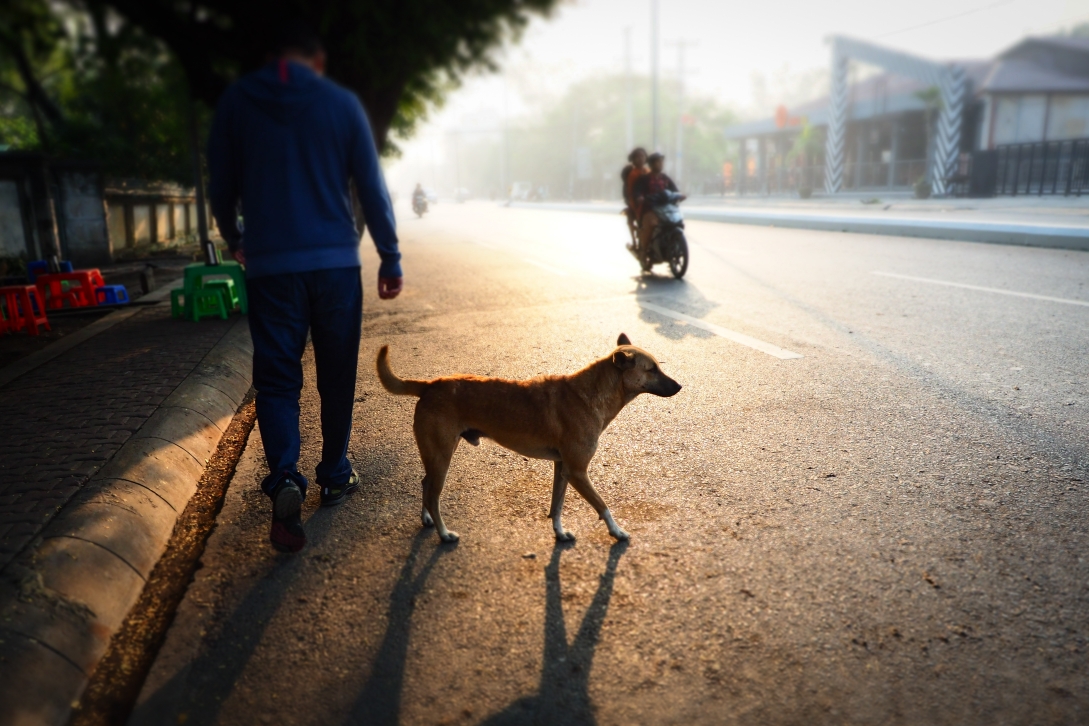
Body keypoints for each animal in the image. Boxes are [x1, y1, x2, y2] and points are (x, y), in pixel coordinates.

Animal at [374, 333, 679, 542]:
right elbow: (602, 505)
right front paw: (617, 531)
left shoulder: (563, 468)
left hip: (434, 456)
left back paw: (426, 517)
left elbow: (557, 505)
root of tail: (430, 386)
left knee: (425, 484)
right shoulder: (578, 471)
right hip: (441, 457)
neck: (590, 393)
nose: (679, 386)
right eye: (651, 369)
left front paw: (559, 532)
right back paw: (444, 533)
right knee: (433, 494)